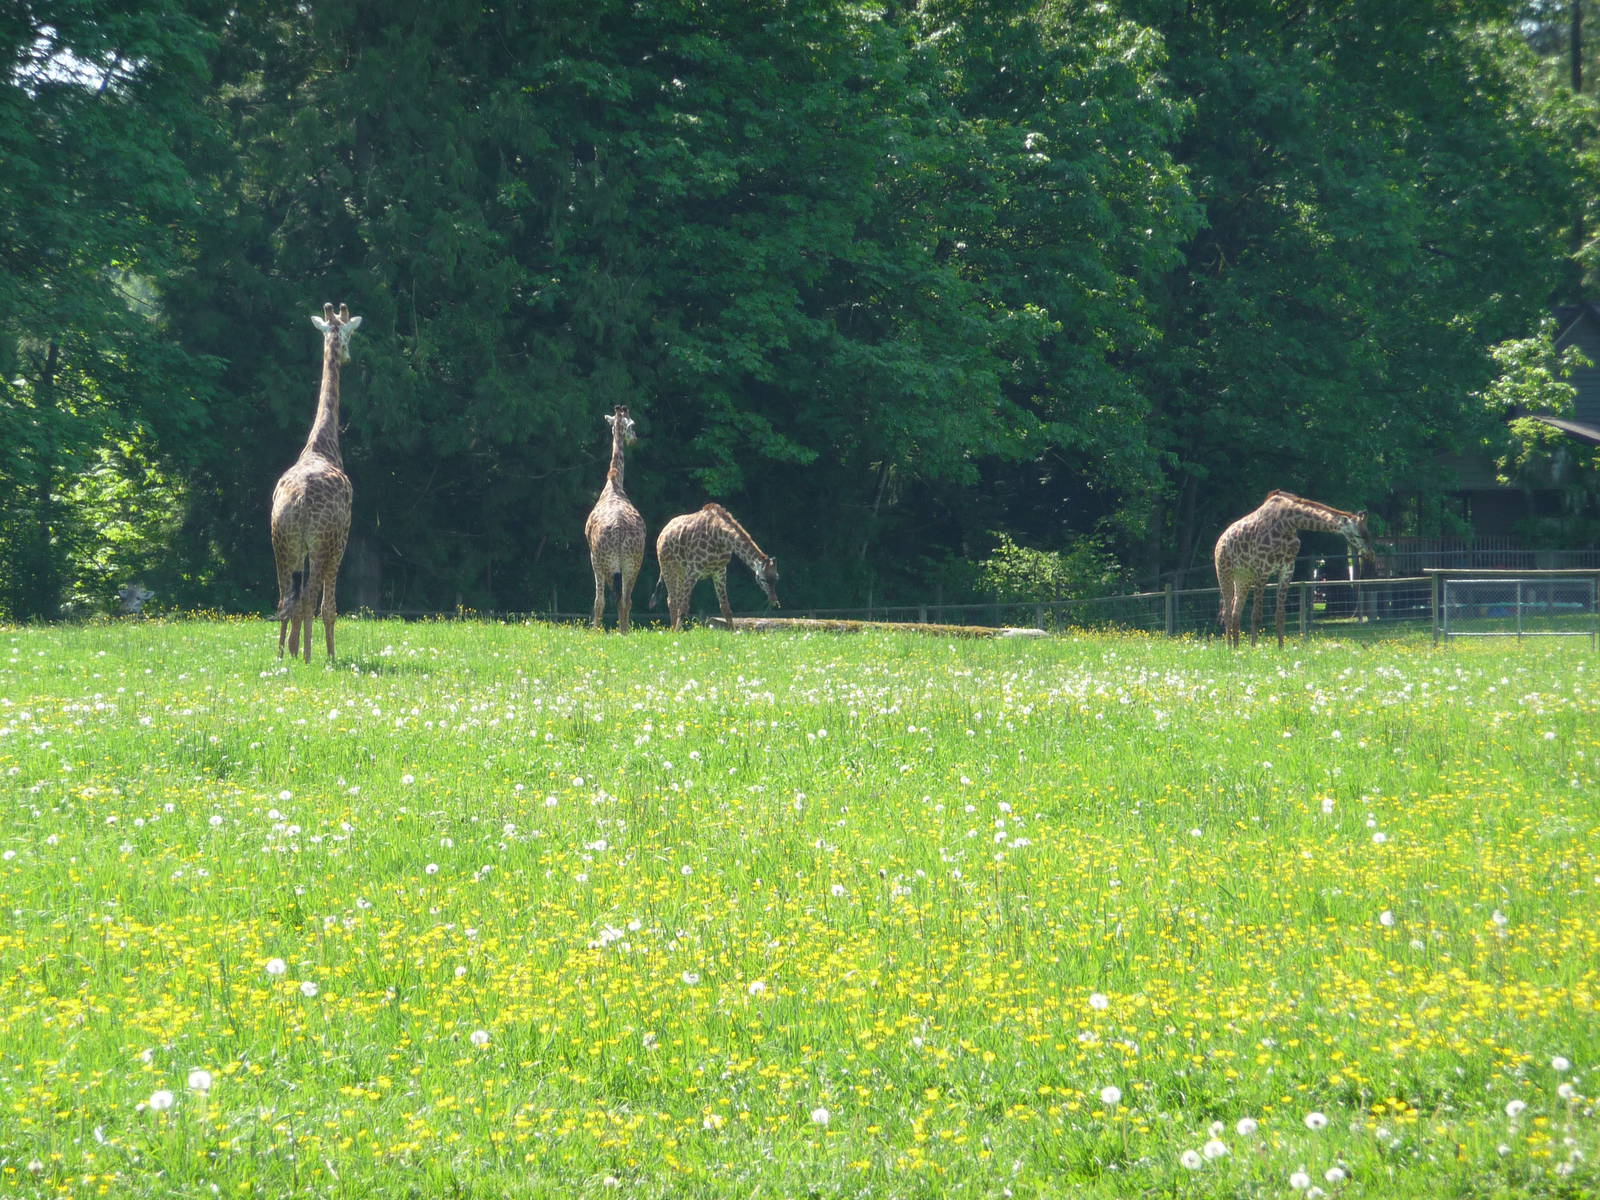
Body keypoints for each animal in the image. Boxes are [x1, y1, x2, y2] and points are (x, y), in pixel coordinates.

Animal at [270, 303, 361, 661]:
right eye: (350, 335)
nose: (348, 357)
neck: (321, 445)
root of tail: (300, 502)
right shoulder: (341, 538)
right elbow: (328, 606)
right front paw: (327, 656)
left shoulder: (302, 548)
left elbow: (295, 602)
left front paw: (294, 648)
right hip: (324, 543)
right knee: (311, 599)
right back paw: (312, 657)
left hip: (282, 541)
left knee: (285, 598)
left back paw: (282, 656)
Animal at [583, 405, 645, 633]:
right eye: (633, 425)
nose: (634, 439)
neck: (614, 483)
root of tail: (619, 532)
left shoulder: (593, 557)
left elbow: (600, 601)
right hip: (632, 563)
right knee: (625, 599)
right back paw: (624, 632)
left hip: (604, 563)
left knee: (604, 600)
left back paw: (600, 631)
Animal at [650, 503, 780, 631]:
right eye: (762, 579)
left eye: (777, 578)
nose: (774, 600)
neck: (720, 536)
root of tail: (663, 531)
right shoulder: (693, 570)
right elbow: (684, 607)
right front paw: (678, 632)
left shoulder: (720, 571)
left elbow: (725, 607)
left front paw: (733, 632)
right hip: (668, 567)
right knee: (672, 600)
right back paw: (673, 630)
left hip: (681, 571)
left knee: (675, 598)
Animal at [1214, 490, 1376, 648]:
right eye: (1357, 535)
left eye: (1368, 534)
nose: (1370, 554)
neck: (1289, 523)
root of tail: (1220, 539)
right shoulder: (1262, 568)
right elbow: (1256, 615)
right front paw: (1254, 648)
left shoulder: (1288, 567)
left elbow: (1280, 614)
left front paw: (1281, 648)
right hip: (1225, 571)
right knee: (1227, 611)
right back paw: (1229, 647)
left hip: (1243, 576)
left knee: (1235, 610)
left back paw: (1236, 647)